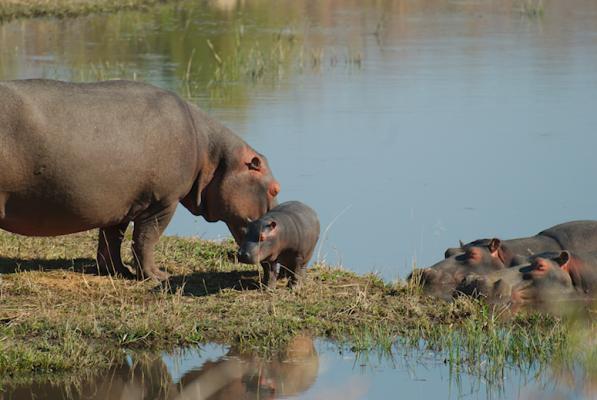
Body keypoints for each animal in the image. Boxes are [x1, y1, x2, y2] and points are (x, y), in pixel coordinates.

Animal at [0, 79, 280, 282]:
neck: (212, 154)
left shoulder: (119, 206)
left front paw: (117, 272)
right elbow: (145, 239)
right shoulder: (162, 203)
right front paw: (157, 277)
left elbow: (111, 240)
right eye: (275, 189)